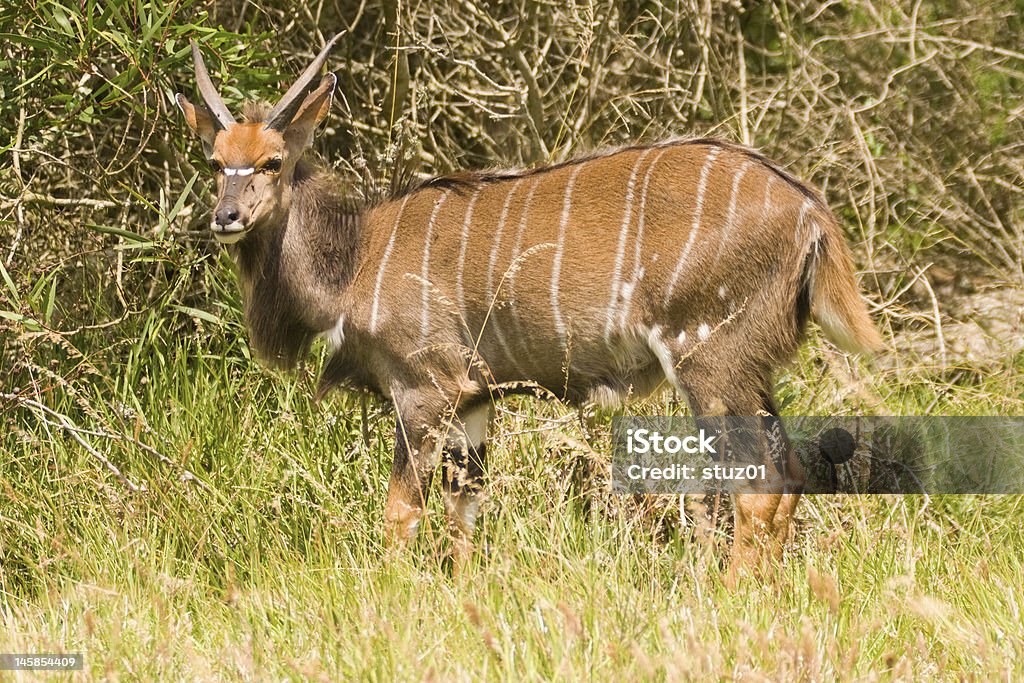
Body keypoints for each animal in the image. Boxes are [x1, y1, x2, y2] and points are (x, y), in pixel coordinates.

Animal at [176, 34, 880, 573]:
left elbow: (403, 509)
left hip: (710, 361)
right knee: (787, 474)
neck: (354, 259)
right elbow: (465, 506)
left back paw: (731, 595)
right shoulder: (473, 398)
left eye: (271, 161)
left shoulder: (424, 388)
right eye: (214, 161)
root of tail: (811, 213)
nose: (225, 217)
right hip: (748, 370)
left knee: (759, 485)